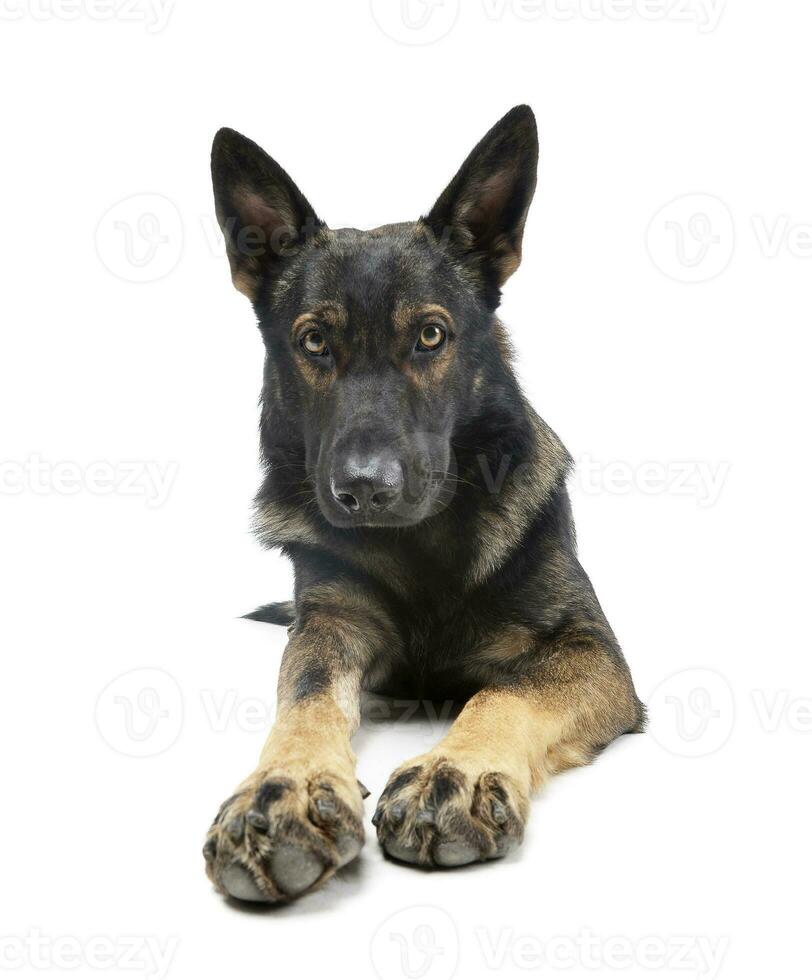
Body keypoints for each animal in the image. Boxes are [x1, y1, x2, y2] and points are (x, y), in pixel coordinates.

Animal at [205, 105, 648, 904]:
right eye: (313, 342)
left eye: (431, 335)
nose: (364, 488)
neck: (420, 545)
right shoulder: (330, 624)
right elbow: (306, 696)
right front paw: (283, 788)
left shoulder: (589, 649)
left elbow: (507, 692)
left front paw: (456, 771)